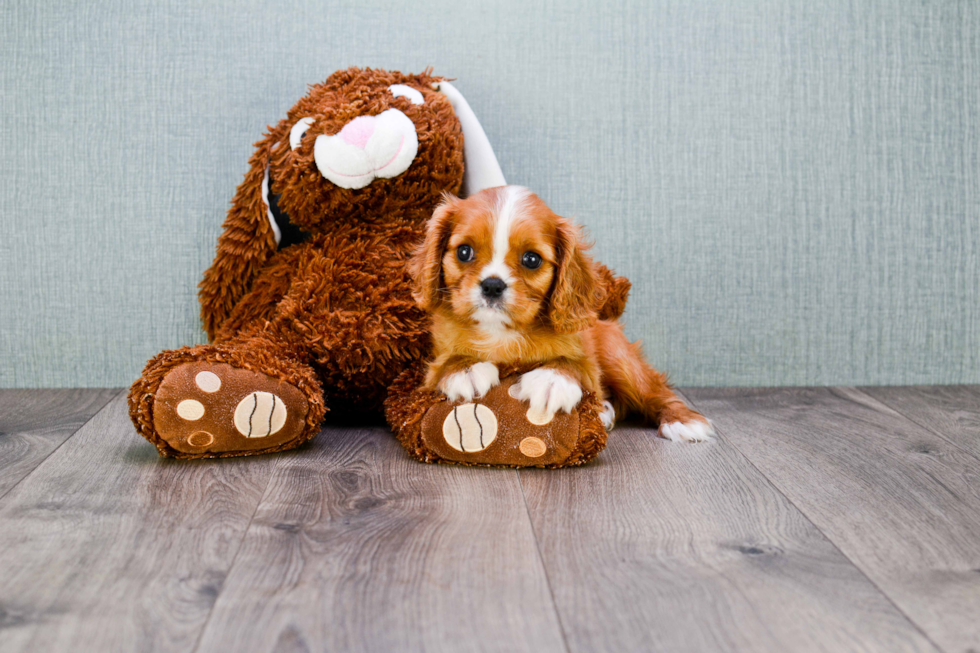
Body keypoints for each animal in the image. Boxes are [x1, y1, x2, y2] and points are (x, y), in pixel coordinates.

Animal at [410, 185, 716, 444]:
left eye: (531, 259)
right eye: (464, 252)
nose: (492, 285)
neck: (502, 332)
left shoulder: (587, 357)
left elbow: (575, 364)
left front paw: (552, 379)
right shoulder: (435, 359)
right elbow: (445, 363)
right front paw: (466, 368)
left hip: (620, 358)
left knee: (655, 390)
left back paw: (682, 420)